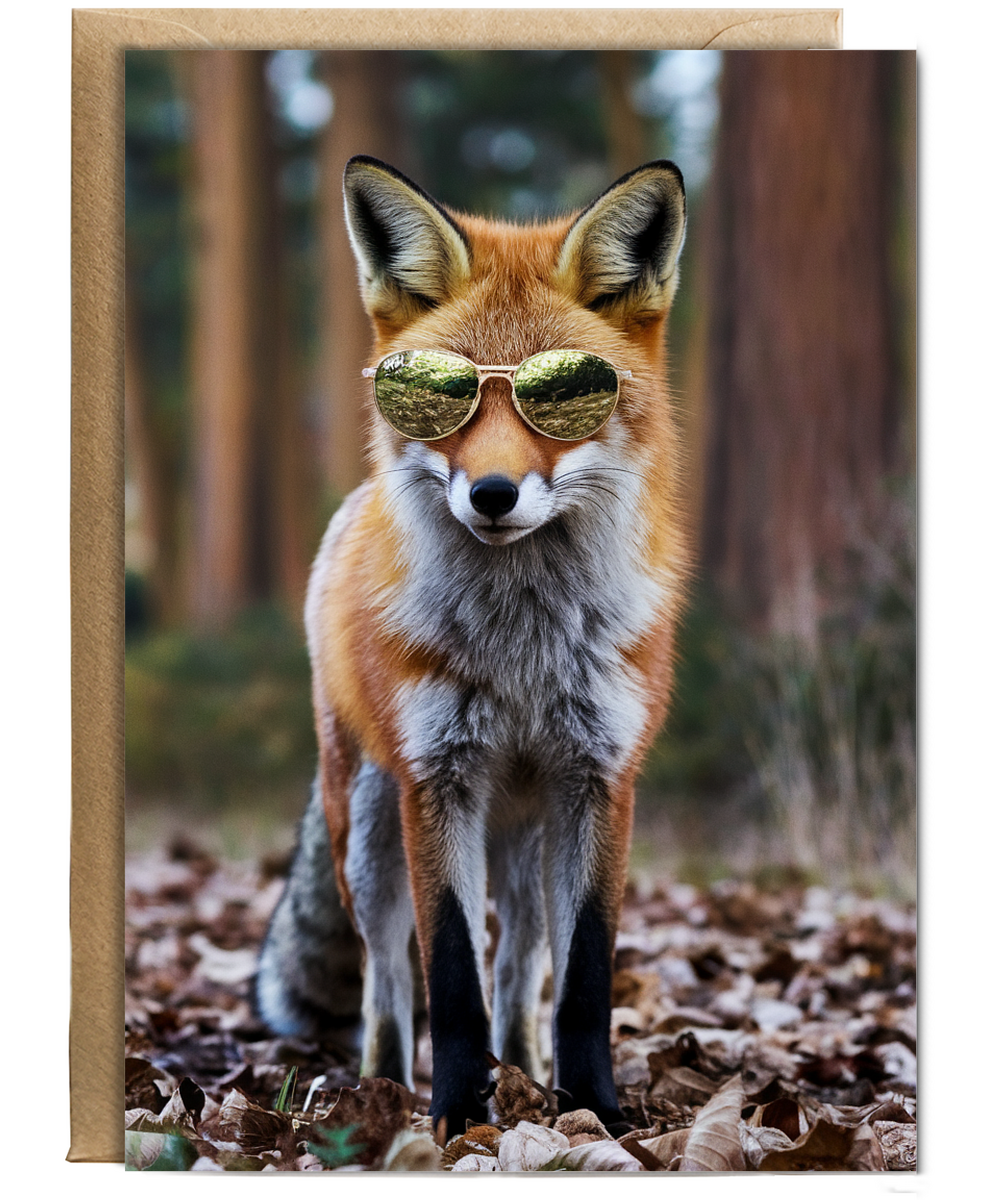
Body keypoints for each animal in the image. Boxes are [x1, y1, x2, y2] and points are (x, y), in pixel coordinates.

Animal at [256, 155, 688, 1141]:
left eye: (565, 395)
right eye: (441, 396)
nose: (492, 494)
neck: (522, 653)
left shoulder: (600, 780)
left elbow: (581, 978)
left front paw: (594, 1111)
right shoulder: (438, 778)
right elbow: (448, 972)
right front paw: (457, 1115)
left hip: (525, 843)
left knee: (522, 967)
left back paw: (526, 1072)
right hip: (368, 830)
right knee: (385, 977)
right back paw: (383, 1092)